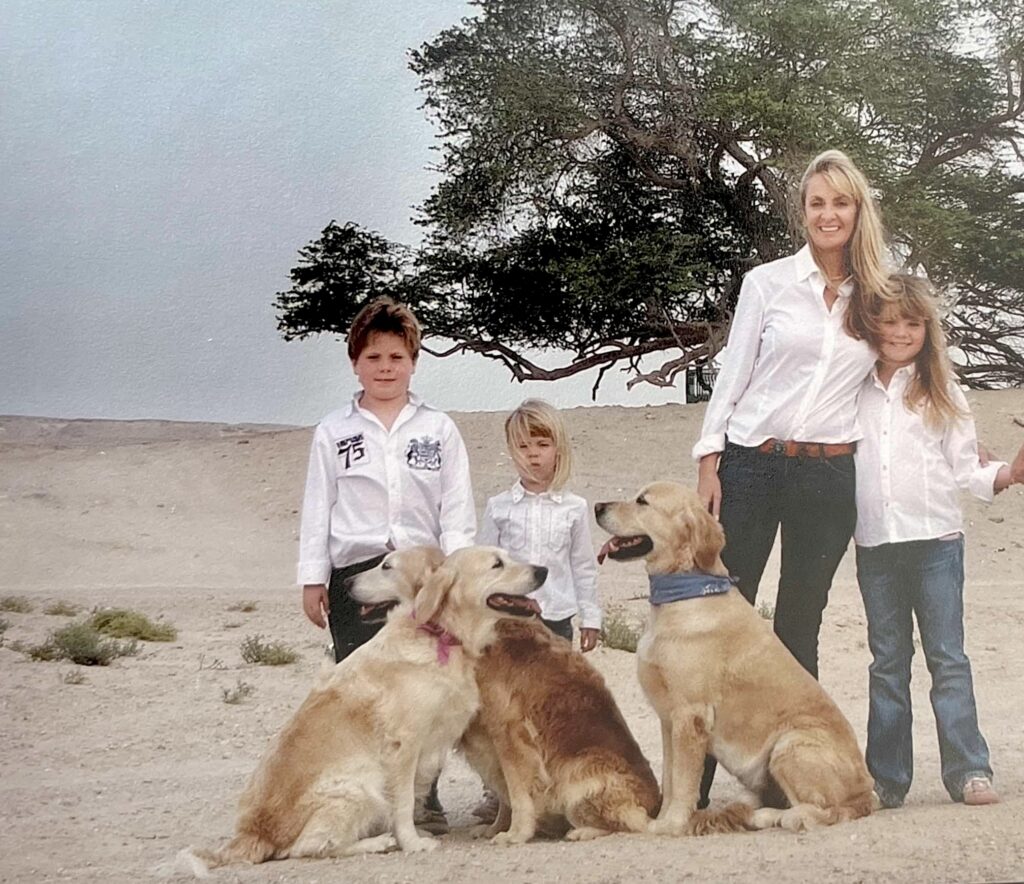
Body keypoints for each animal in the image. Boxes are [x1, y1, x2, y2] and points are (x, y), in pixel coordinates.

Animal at [187, 544, 548, 872]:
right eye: (497, 564)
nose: (543, 570)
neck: (437, 633)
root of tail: (252, 834)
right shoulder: (404, 745)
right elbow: (403, 803)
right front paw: (413, 842)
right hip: (359, 785)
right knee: (308, 847)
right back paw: (377, 842)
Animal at [460, 618, 659, 848]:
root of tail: (656, 803)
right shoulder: (492, 747)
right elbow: (504, 795)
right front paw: (496, 828)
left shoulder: (510, 735)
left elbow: (517, 794)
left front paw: (515, 833)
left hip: (575, 772)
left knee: (626, 823)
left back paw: (581, 831)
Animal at [598, 483, 876, 835]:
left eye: (642, 501)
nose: (597, 507)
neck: (683, 593)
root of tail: (867, 793)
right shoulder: (668, 719)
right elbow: (670, 778)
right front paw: (662, 819)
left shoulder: (690, 716)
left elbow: (683, 781)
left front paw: (672, 824)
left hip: (789, 743)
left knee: (826, 811)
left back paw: (773, 816)